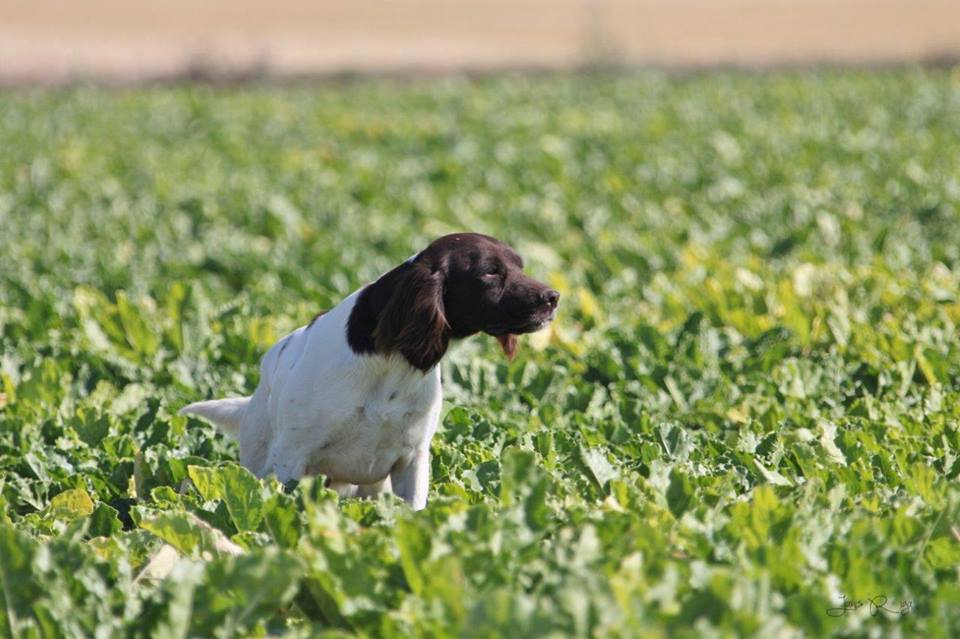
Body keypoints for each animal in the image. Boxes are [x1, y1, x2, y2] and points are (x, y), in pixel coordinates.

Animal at [180, 234, 560, 510]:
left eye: (520, 265)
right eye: (490, 272)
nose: (553, 297)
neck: (392, 364)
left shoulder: (412, 460)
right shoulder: (291, 458)